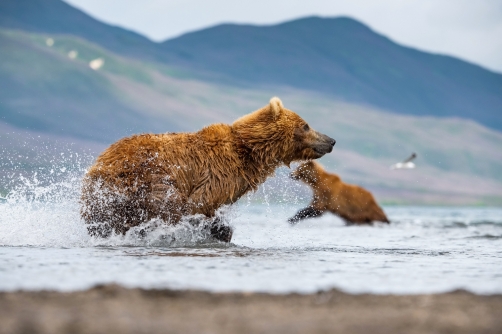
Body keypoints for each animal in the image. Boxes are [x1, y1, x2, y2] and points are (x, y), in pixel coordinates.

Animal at [80, 98, 336, 241]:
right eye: (306, 125)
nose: (331, 140)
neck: (249, 152)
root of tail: (99, 163)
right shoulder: (215, 172)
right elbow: (197, 205)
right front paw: (217, 230)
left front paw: (221, 231)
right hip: (144, 176)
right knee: (163, 202)